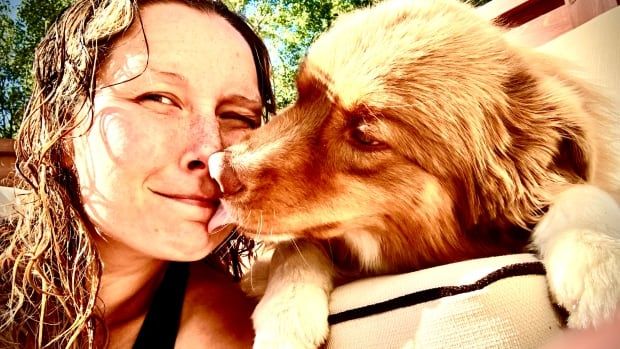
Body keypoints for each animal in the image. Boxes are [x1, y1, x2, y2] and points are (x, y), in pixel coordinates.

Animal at [208, 0, 620, 346]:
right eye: (300, 96)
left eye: (364, 135)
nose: (217, 170)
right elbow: (293, 248)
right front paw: (285, 312)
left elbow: (579, 194)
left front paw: (598, 262)